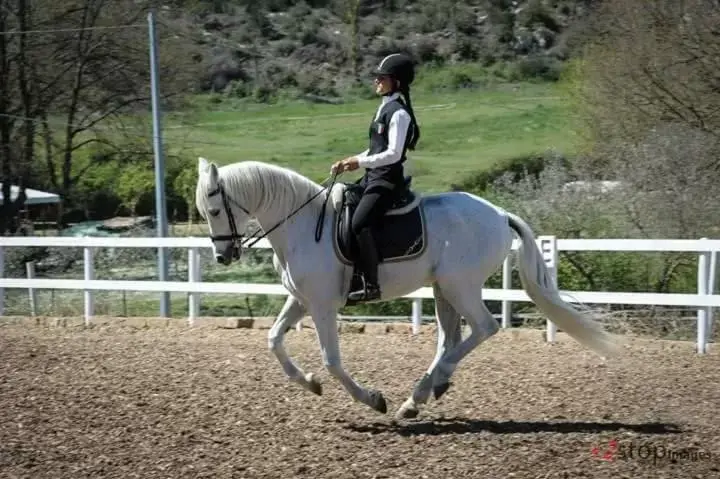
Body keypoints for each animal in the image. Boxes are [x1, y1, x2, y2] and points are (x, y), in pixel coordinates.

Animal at [195, 158, 620, 420]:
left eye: (214, 210)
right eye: (203, 212)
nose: (223, 256)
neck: (301, 226)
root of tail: (500, 214)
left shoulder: (322, 305)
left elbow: (332, 360)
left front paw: (371, 399)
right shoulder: (301, 300)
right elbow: (273, 340)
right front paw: (310, 384)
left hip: (460, 286)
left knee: (483, 328)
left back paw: (430, 385)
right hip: (443, 290)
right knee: (450, 338)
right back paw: (420, 396)